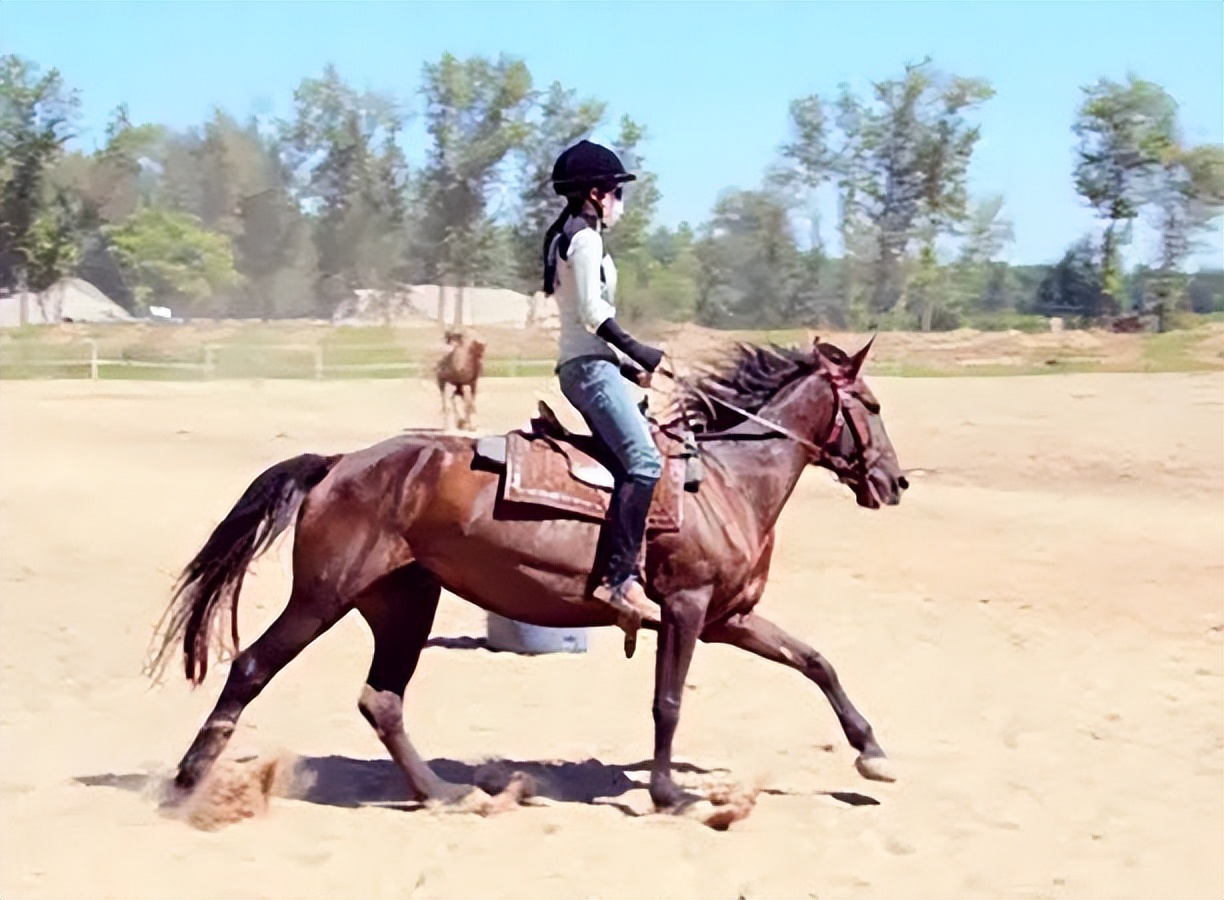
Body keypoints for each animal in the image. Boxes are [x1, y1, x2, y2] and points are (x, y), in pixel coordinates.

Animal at [149, 335, 908, 813]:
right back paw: (185, 785)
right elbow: (668, 701)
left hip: (402, 601)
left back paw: (444, 795)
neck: (725, 480)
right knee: (253, 668)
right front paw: (669, 796)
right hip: (323, 596)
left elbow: (815, 662)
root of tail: (340, 463)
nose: (895, 482)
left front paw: (873, 753)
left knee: (381, 701)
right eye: (871, 406)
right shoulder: (688, 609)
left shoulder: (730, 618)